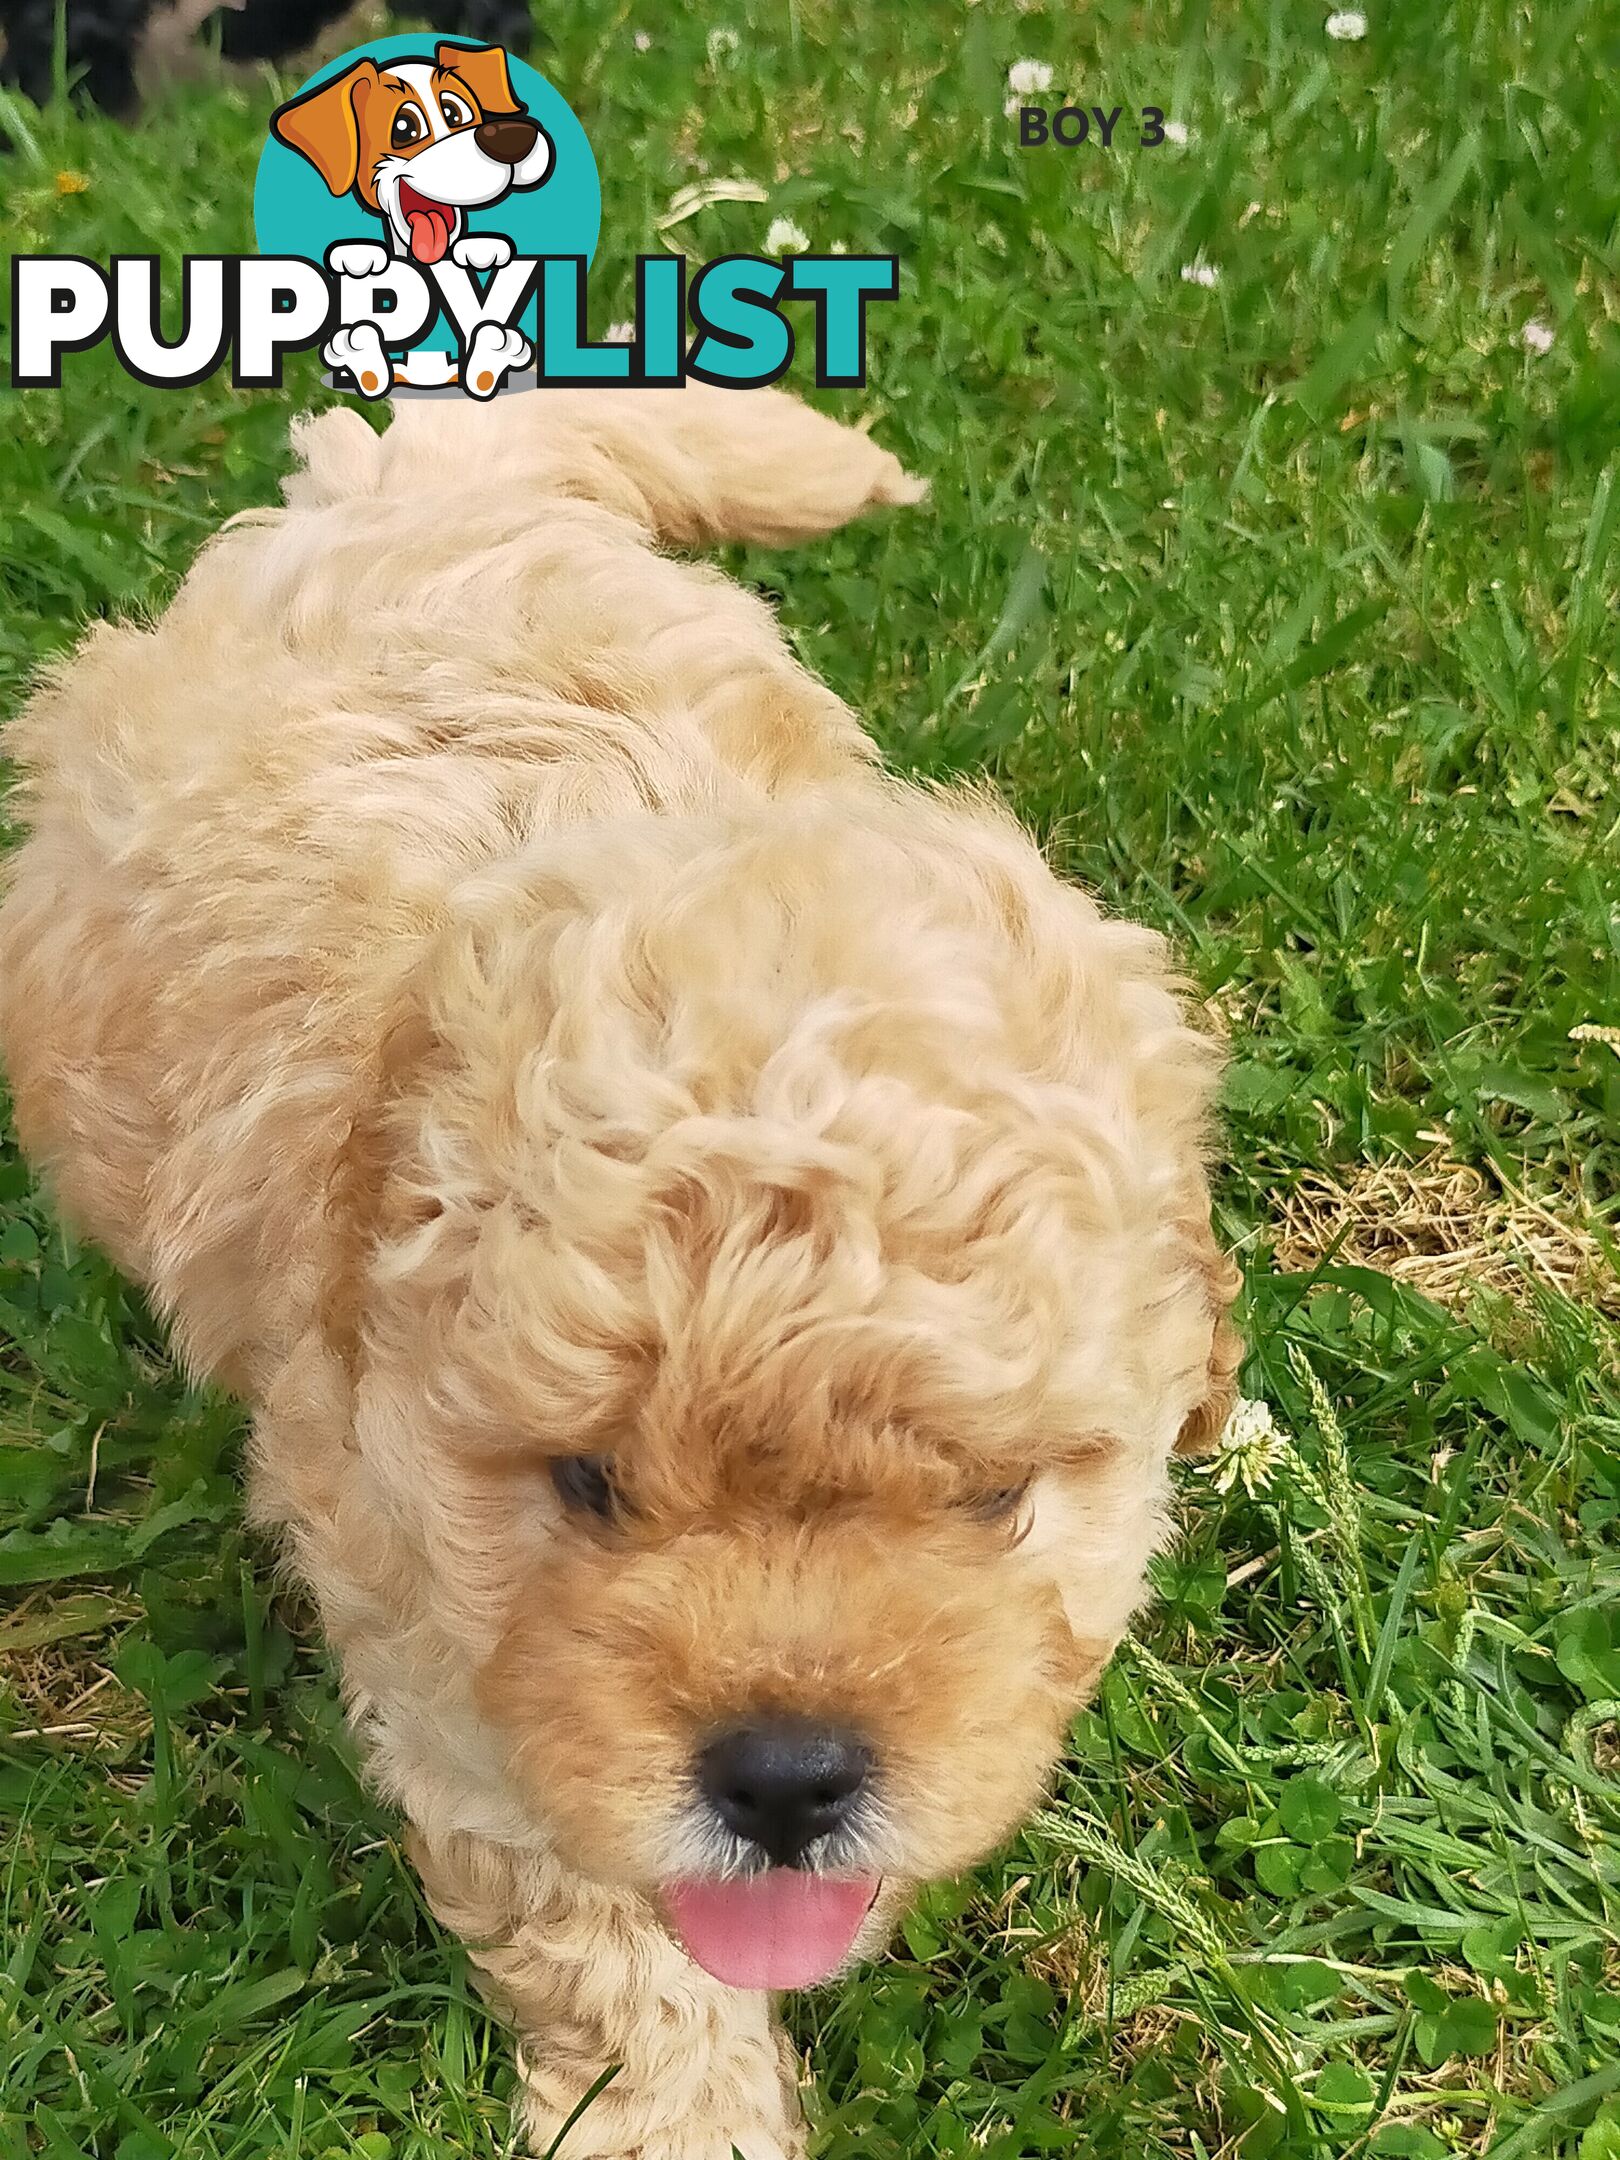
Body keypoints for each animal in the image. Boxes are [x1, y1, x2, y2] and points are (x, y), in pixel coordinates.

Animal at [0, 388, 1244, 2160]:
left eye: (997, 1499)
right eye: (586, 1486)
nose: (787, 1778)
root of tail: (393, 485)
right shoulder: (455, 1666)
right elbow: (605, 1937)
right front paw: (680, 2117)